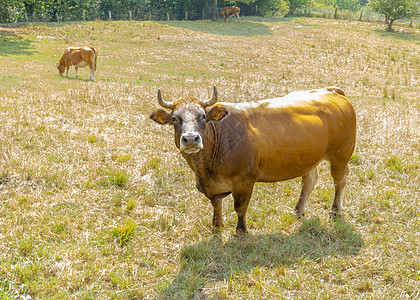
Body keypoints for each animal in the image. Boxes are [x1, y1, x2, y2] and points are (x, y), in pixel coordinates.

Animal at [149, 85, 356, 236]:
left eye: (203, 116)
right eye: (175, 118)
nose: (191, 139)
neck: (205, 170)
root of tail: (332, 91)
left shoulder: (245, 181)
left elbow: (240, 208)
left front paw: (241, 231)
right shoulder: (213, 187)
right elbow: (216, 205)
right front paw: (216, 226)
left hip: (341, 155)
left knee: (340, 181)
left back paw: (336, 209)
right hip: (310, 158)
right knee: (309, 181)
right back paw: (298, 210)